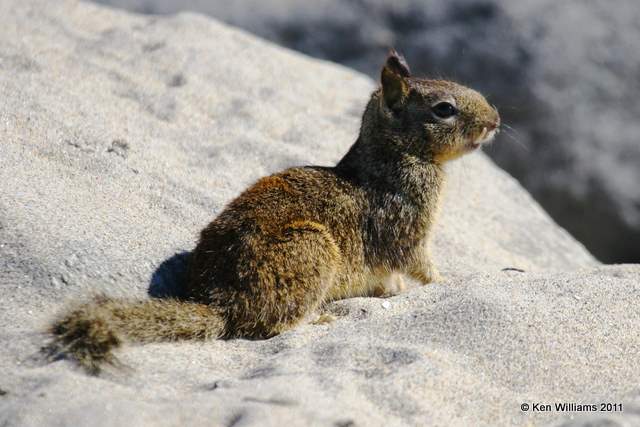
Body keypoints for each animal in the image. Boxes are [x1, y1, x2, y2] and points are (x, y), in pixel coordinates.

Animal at [47, 51, 502, 374]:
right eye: (444, 108)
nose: (496, 120)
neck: (395, 153)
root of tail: (220, 302)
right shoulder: (409, 226)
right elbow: (420, 266)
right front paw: (446, 282)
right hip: (311, 250)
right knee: (271, 327)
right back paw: (320, 319)